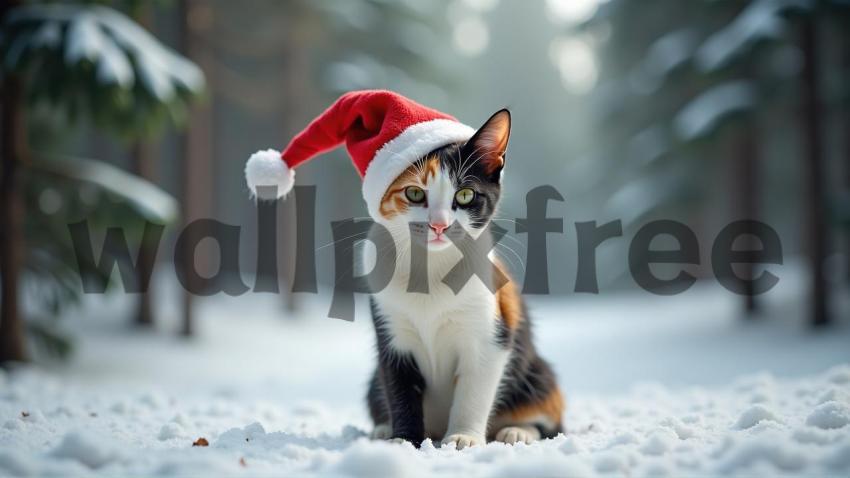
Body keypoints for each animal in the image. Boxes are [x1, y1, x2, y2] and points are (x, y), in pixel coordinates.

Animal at [360, 107, 564, 448]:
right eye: (414, 193)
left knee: (552, 417)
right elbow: (399, 387)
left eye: (466, 194)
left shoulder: (491, 333)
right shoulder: (392, 335)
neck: (430, 267)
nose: (439, 225)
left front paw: (463, 437)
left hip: (538, 373)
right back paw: (383, 428)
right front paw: (404, 439)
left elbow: (475, 390)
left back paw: (518, 431)